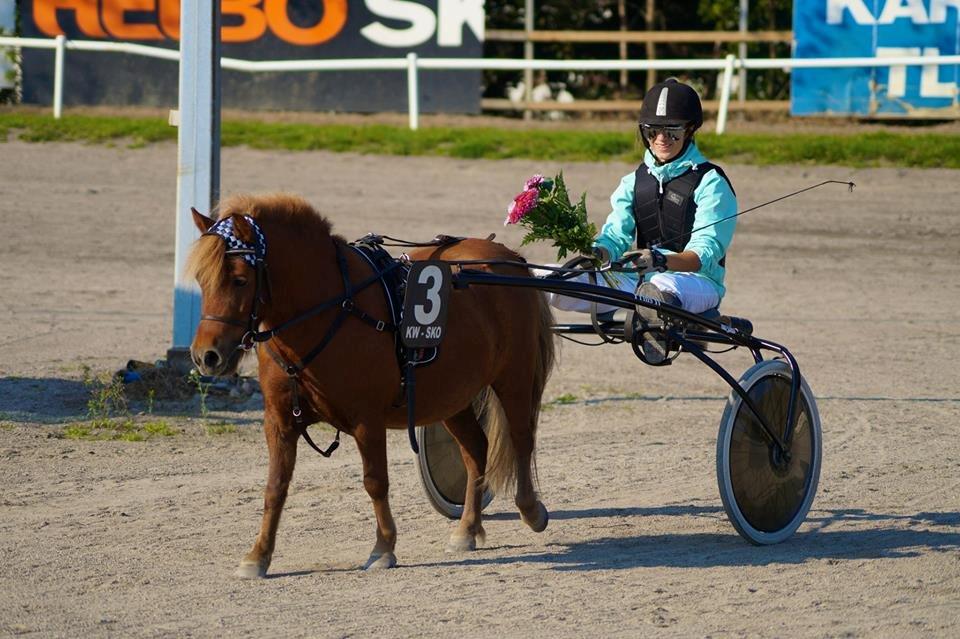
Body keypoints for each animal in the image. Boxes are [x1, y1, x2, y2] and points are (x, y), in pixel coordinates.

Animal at [187, 192, 556, 576]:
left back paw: (531, 510)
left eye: (240, 279)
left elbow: (375, 481)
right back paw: (467, 528)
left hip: (514, 375)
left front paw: (383, 547)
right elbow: (275, 486)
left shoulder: (367, 419)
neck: (331, 309)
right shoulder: (279, 420)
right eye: (200, 278)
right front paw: (258, 556)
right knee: (476, 449)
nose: (206, 355)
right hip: (451, 396)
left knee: (521, 438)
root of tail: (509, 258)